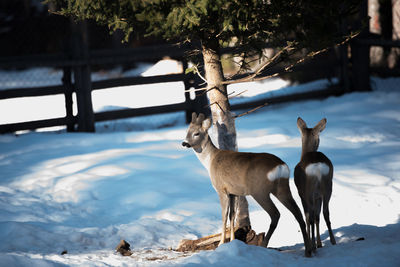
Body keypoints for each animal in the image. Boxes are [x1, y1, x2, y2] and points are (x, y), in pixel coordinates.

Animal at [182, 113, 312, 258]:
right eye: (187, 131)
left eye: (197, 133)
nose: (184, 143)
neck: (210, 160)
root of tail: (281, 166)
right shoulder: (233, 192)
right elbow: (232, 216)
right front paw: (233, 241)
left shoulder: (222, 189)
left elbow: (224, 216)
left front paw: (221, 243)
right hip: (283, 188)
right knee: (298, 213)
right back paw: (308, 250)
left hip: (260, 191)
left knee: (276, 214)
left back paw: (264, 244)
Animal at [294, 118, 338, 252]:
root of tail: (317, 167)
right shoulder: (318, 196)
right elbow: (318, 217)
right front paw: (319, 243)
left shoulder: (301, 194)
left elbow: (308, 217)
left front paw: (311, 243)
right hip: (328, 186)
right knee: (325, 213)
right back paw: (333, 241)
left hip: (308, 191)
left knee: (311, 217)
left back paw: (312, 246)